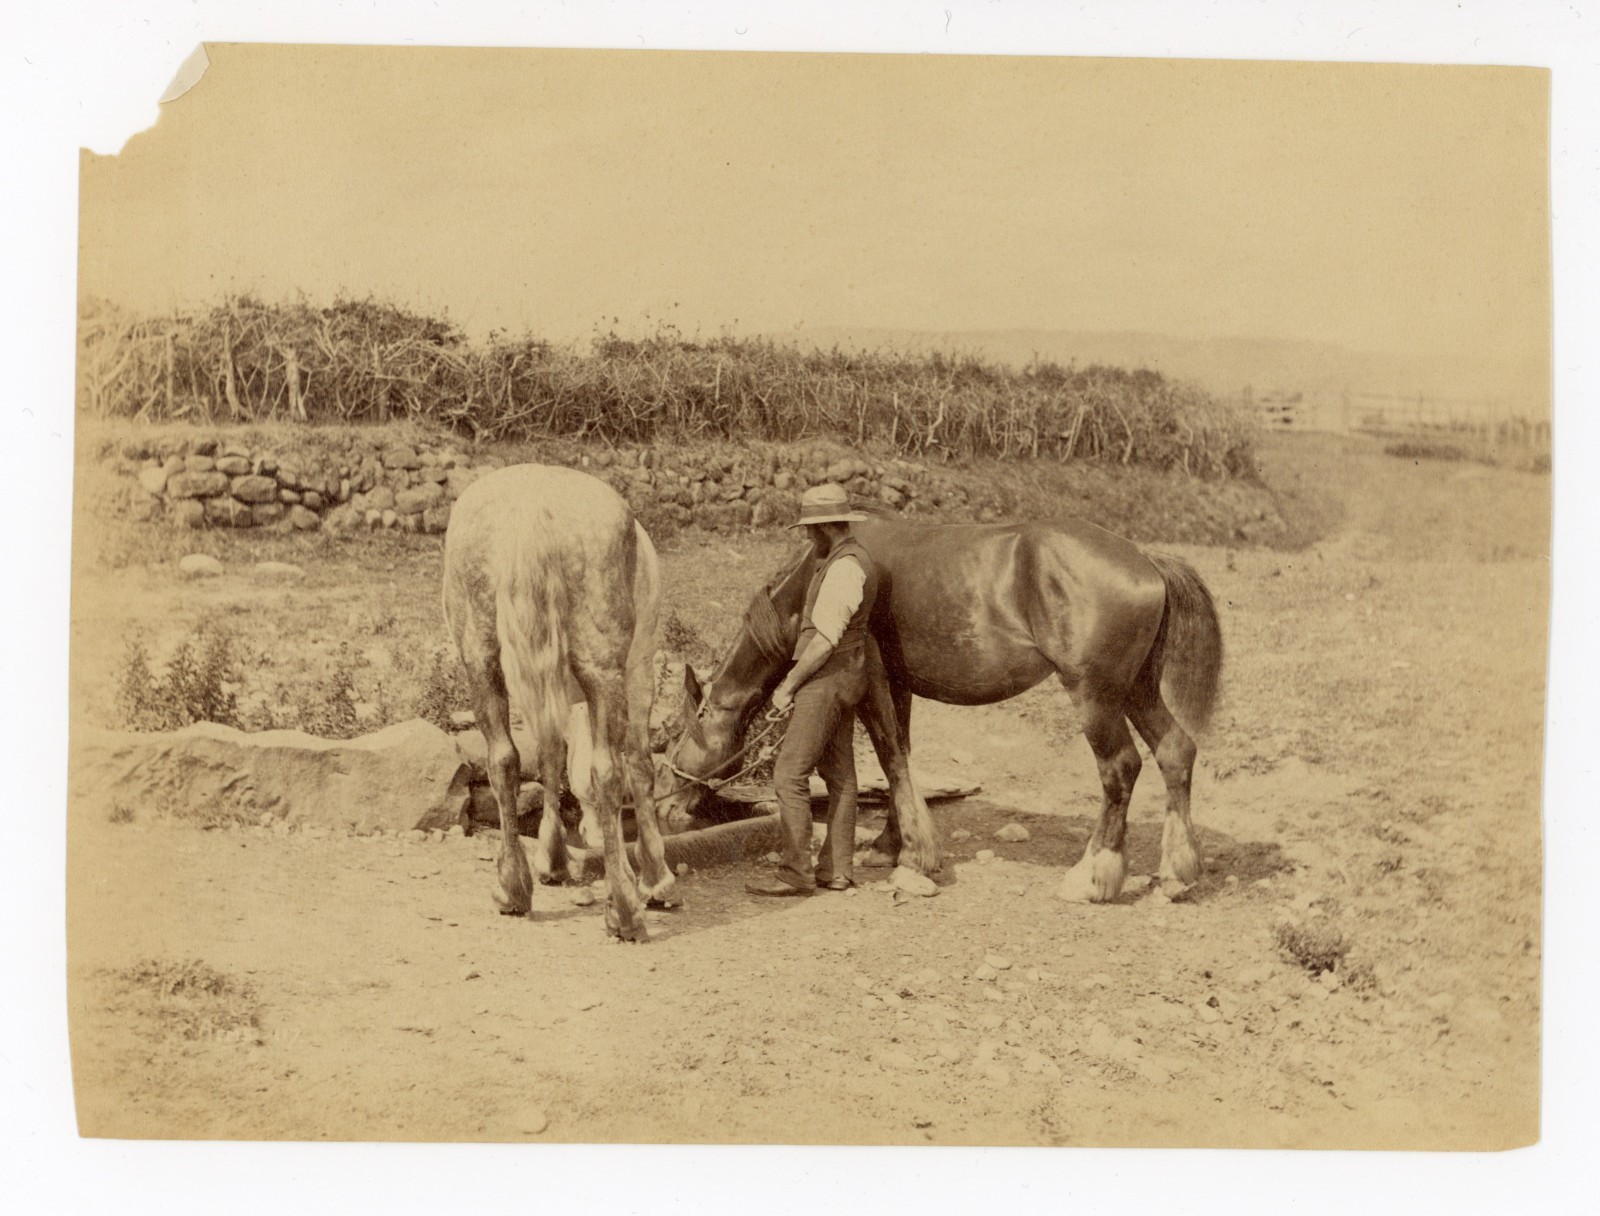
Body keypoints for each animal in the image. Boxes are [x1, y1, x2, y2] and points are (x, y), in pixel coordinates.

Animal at [443, 464, 676, 941]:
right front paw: (654, 876)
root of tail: (531, 508)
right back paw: (625, 911)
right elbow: (638, 767)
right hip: (605, 669)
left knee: (503, 760)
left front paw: (552, 857)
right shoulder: (638, 673)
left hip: (481, 659)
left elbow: (550, 757)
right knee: (608, 771)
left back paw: (512, 889)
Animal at [658, 511, 1223, 903]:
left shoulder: (873, 680)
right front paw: (890, 843)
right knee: (1176, 752)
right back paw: (1176, 874)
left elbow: (889, 753)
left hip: (1096, 697)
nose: (662, 805)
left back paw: (1091, 876)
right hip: (1137, 691)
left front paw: (915, 853)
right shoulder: (901, 686)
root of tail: (1148, 560)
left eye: (681, 735)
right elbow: (900, 756)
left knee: (1120, 769)